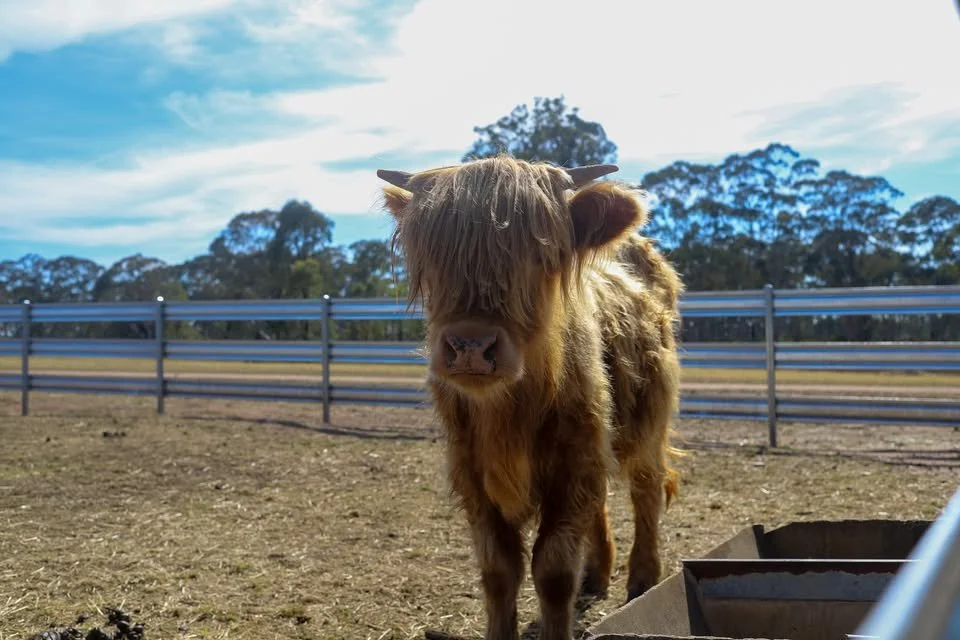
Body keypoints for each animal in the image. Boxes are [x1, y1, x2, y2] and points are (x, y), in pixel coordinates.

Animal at [377, 156, 684, 640]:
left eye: (540, 256)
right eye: (428, 257)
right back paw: (597, 575)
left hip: (649, 416)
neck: (507, 412)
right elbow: (499, 570)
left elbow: (552, 571)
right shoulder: (473, 471)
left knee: (646, 487)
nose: (470, 347)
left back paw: (642, 578)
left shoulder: (572, 462)